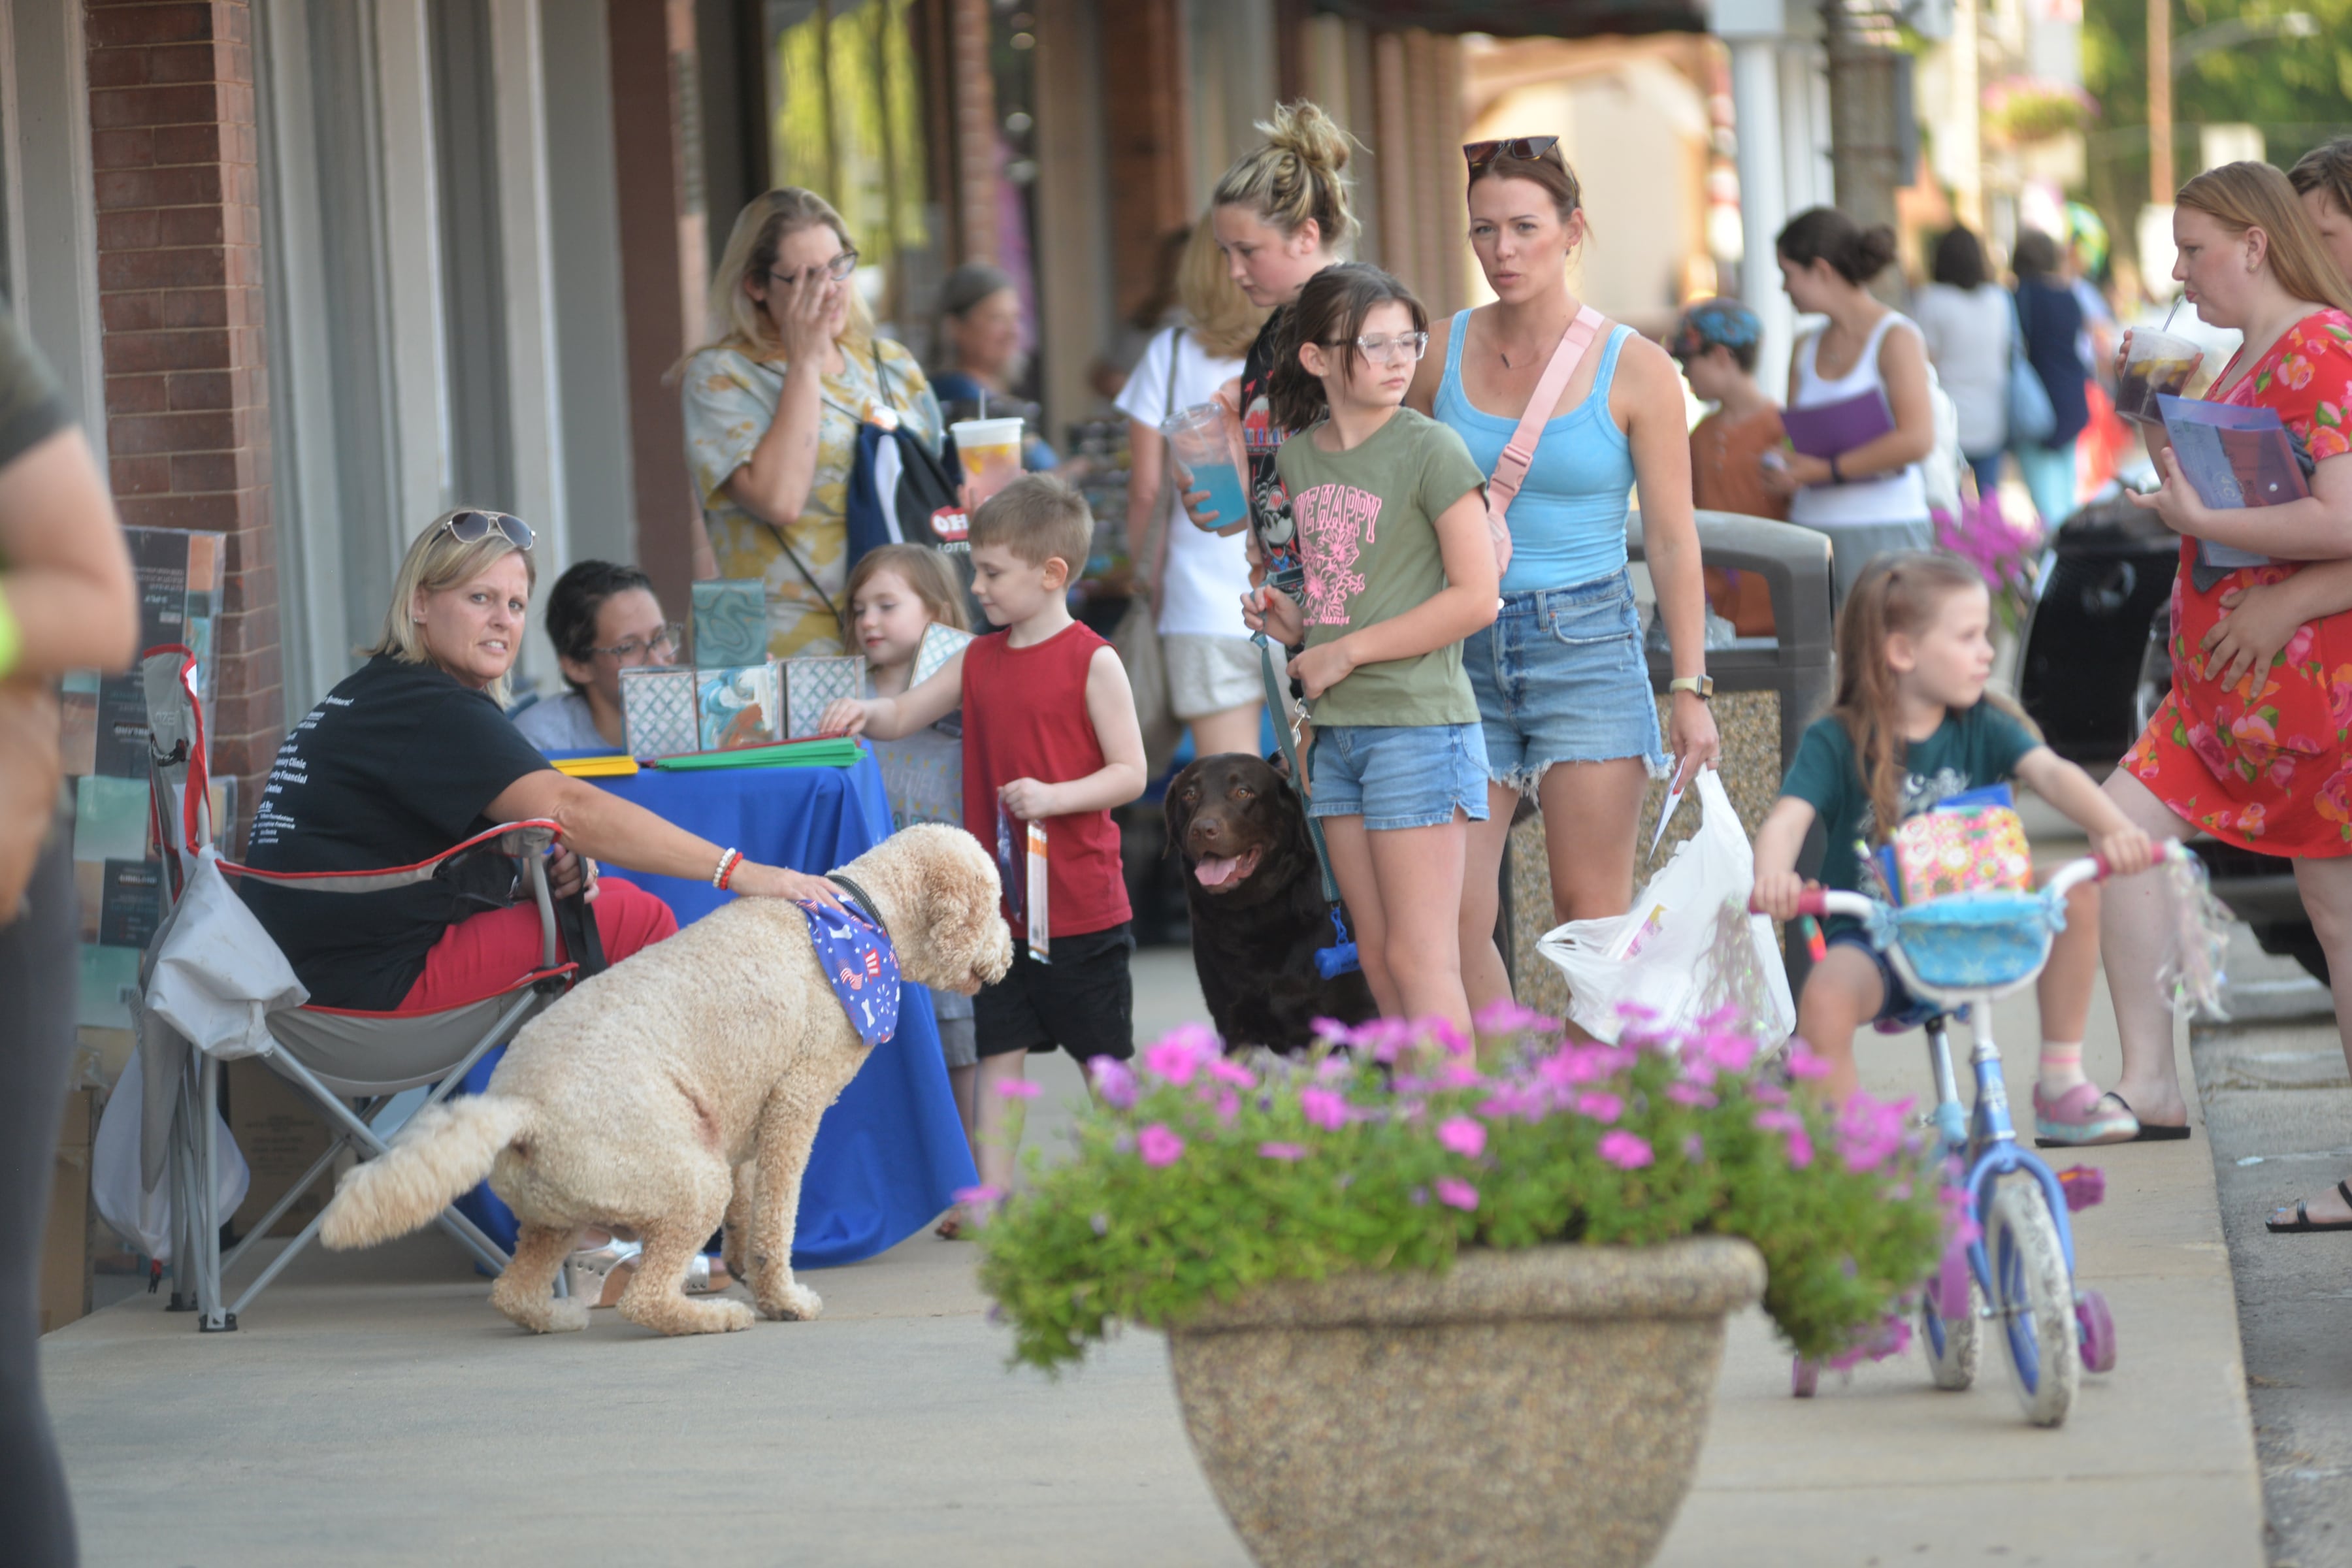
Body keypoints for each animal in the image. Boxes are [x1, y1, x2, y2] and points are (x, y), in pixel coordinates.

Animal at [1162, 752, 1373, 1053]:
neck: (1257, 918)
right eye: (1189, 795)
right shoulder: (1232, 1025)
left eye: (1243, 792)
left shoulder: (1362, 1011)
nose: (1203, 829)